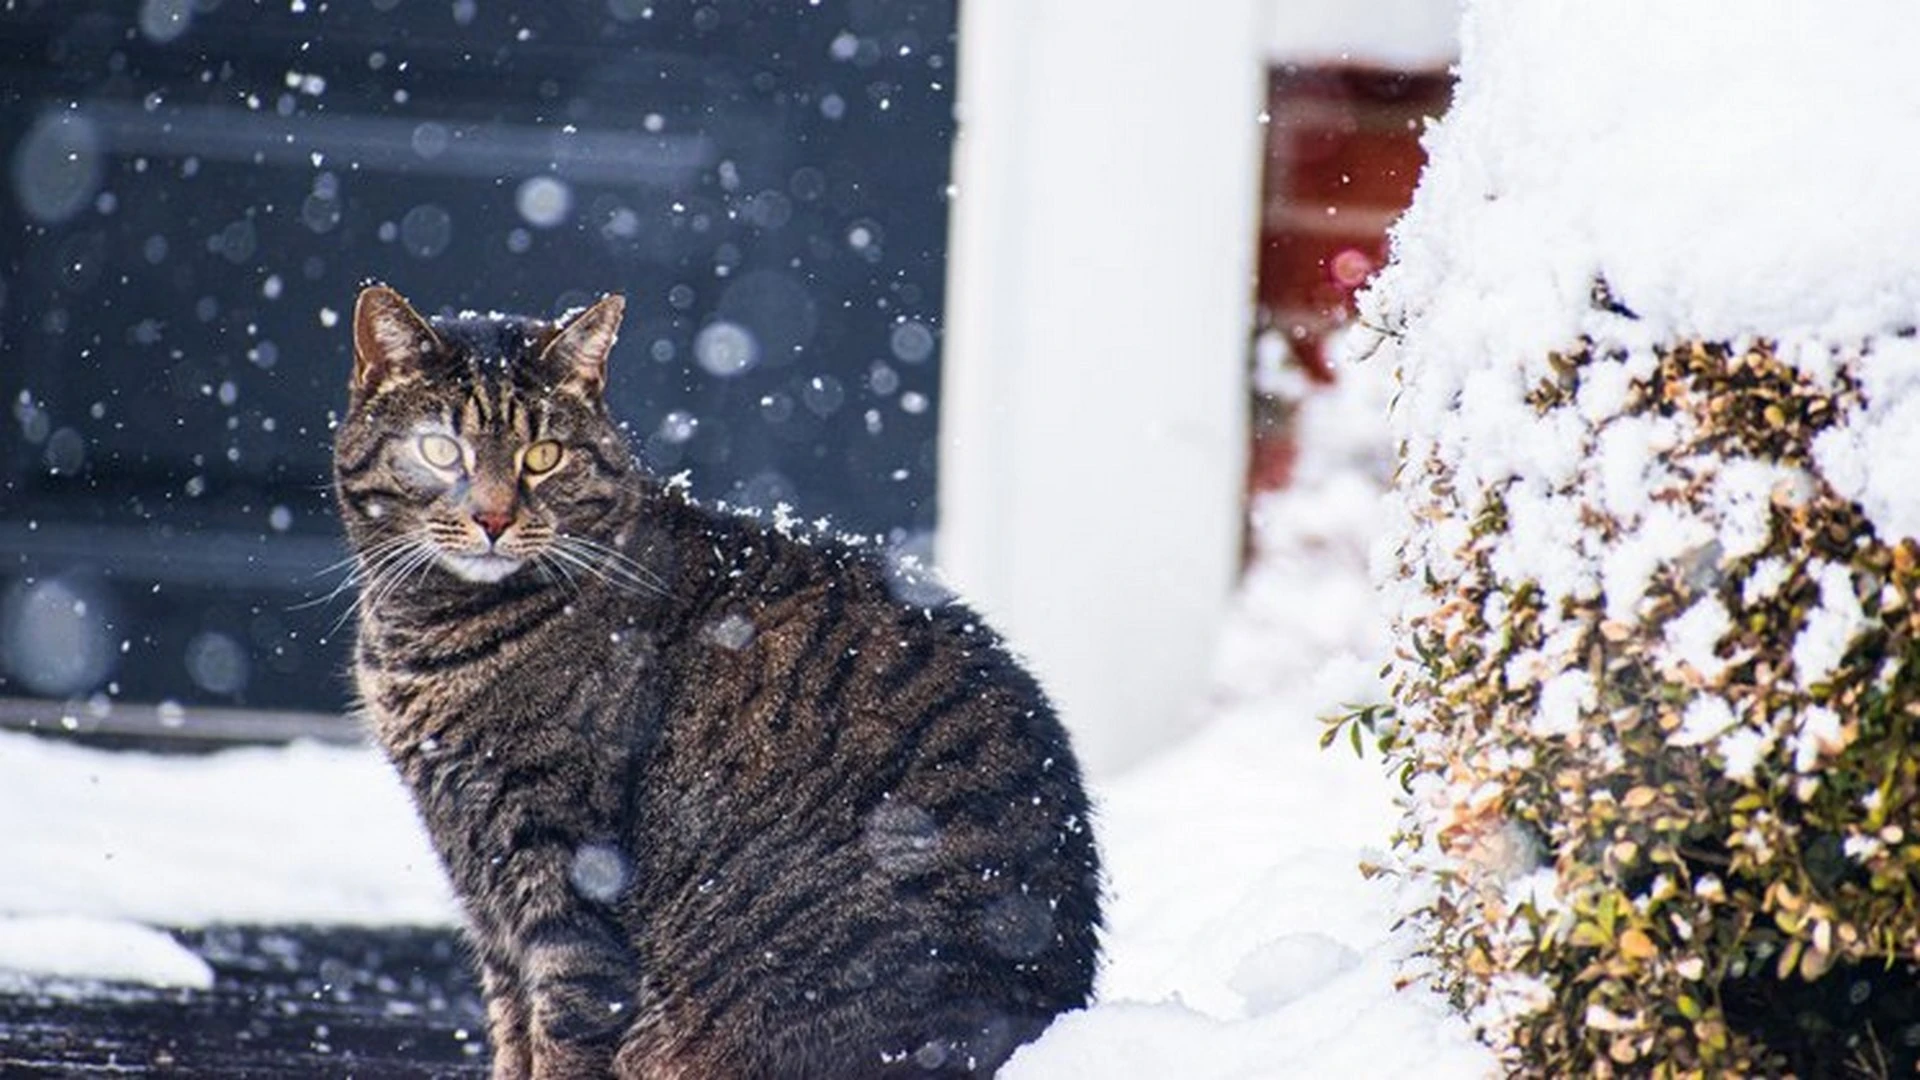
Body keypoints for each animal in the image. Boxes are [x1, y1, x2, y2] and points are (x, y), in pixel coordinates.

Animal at [334, 288, 1098, 1076]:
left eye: (543, 456)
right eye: (440, 449)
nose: (492, 515)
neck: (433, 636)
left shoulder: (569, 883)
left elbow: (562, 1035)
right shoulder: (483, 886)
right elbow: (512, 1032)